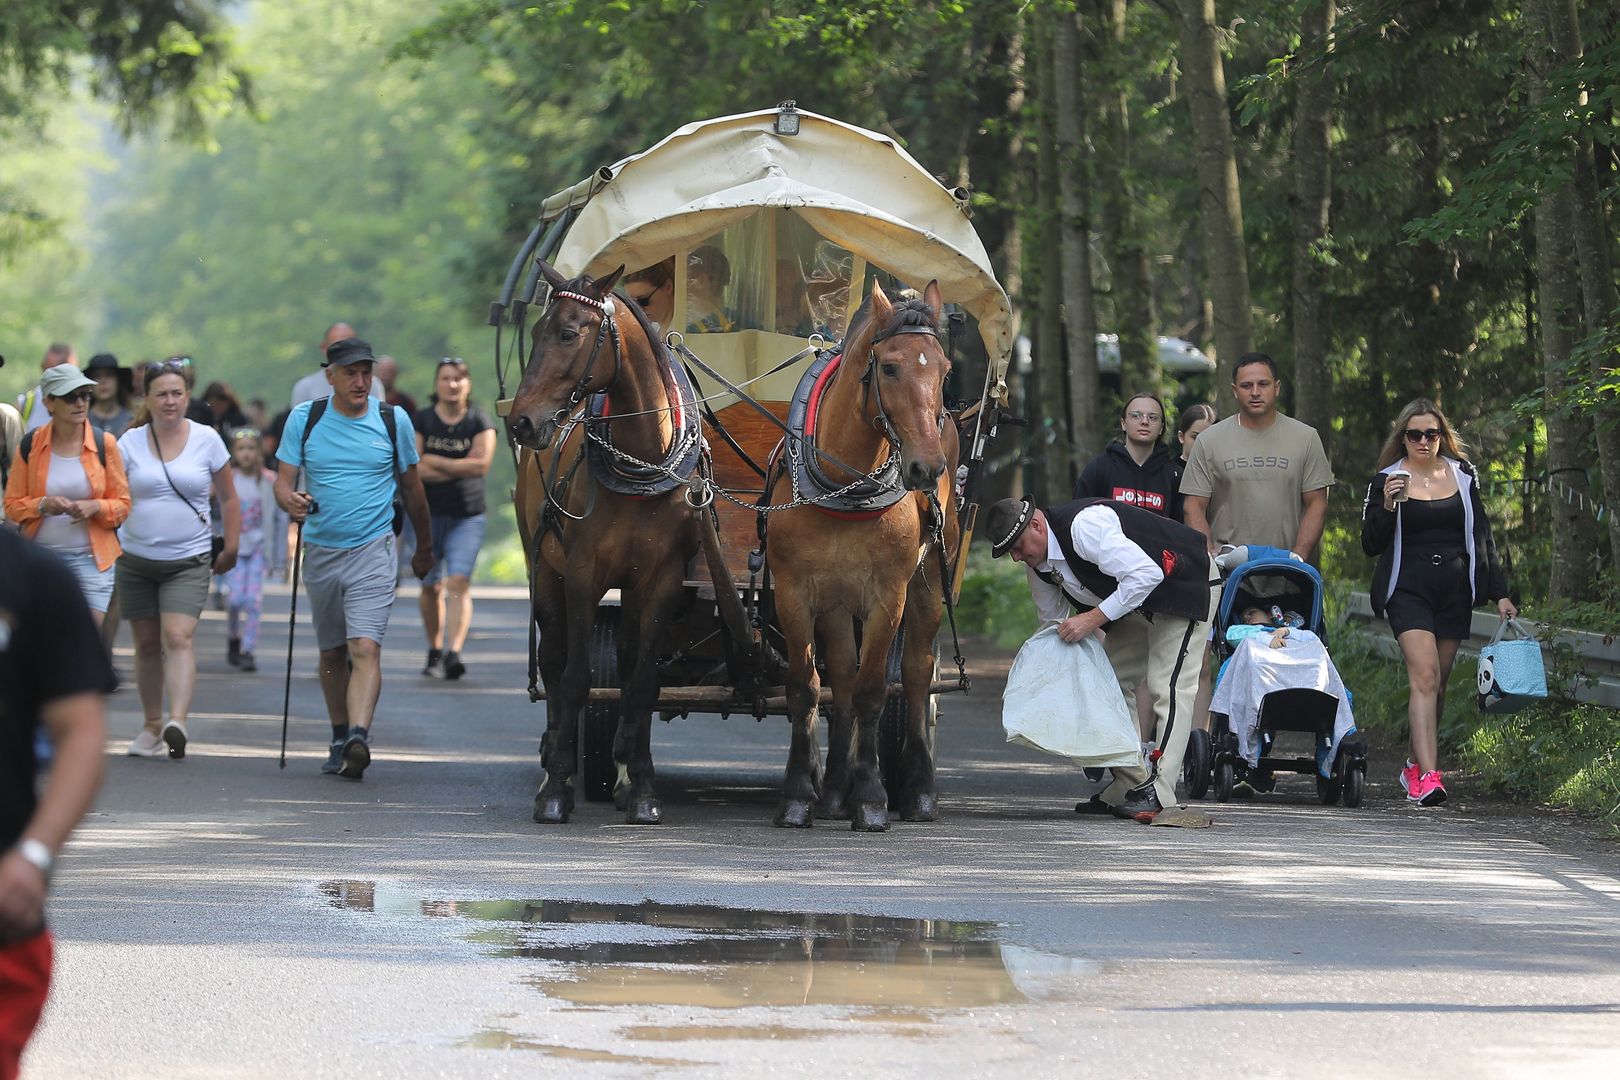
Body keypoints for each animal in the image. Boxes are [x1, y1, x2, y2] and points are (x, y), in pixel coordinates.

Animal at [511, 262, 703, 829]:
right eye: (536, 329)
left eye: (568, 334)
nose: (521, 422)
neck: (645, 460)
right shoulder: (581, 574)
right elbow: (575, 679)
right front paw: (556, 789)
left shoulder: (661, 580)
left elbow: (641, 683)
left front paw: (640, 787)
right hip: (543, 568)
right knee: (553, 662)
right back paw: (554, 758)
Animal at [761, 283, 952, 835]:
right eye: (889, 367)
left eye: (945, 368)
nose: (927, 467)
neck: (846, 485)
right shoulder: (795, 591)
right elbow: (807, 688)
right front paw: (800, 795)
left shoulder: (888, 594)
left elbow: (873, 690)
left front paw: (870, 797)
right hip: (836, 601)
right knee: (841, 676)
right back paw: (833, 791)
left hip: (927, 584)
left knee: (915, 674)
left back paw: (919, 790)